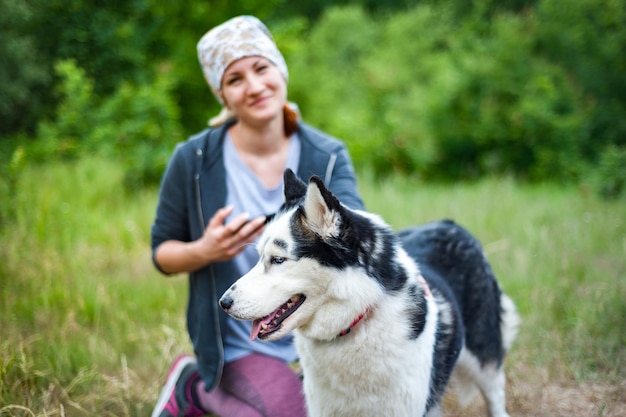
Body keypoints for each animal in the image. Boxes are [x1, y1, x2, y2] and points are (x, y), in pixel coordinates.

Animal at [219, 169, 516, 416]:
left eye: (278, 260)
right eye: (259, 257)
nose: (223, 302)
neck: (355, 323)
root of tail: (450, 224)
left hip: (484, 361)